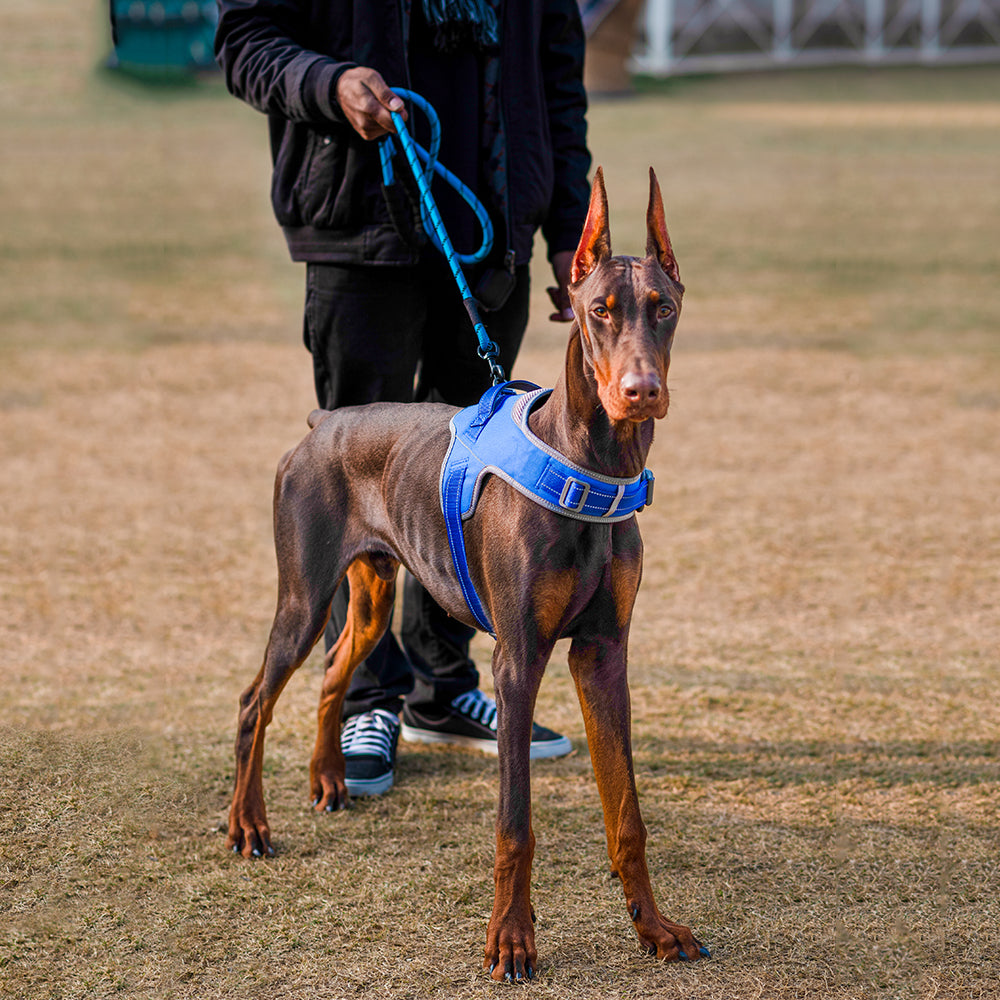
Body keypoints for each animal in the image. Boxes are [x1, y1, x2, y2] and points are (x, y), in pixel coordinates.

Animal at [227, 170, 712, 976]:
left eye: (664, 308)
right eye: (600, 312)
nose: (642, 391)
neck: (591, 465)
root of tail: (322, 424)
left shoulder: (604, 653)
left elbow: (628, 815)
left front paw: (654, 926)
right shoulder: (519, 657)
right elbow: (516, 823)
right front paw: (512, 939)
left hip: (372, 591)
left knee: (333, 672)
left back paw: (330, 778)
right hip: (304, 592)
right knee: (253, 701)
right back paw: (247, 824)